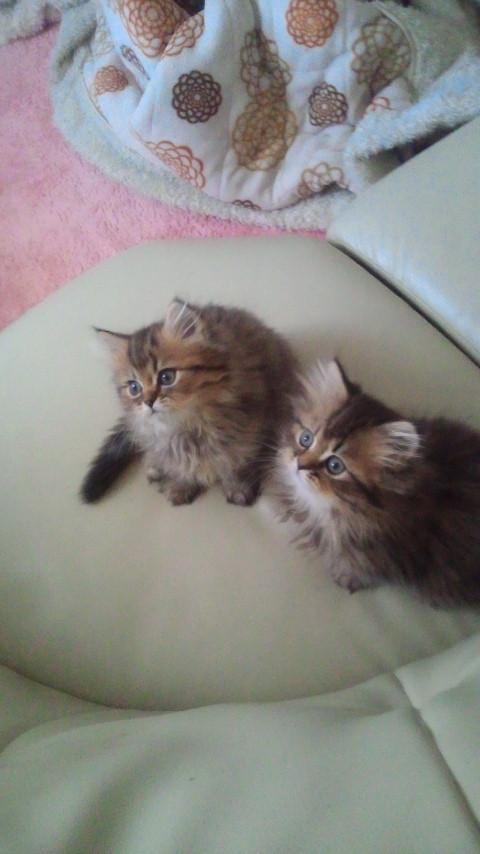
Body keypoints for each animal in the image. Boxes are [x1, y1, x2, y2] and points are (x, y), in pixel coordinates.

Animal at [81, 298, 297, 507]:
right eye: (134, 388)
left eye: (167, 377)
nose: (148, 402)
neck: (187, 427)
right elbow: (178, 465)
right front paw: (180, 485)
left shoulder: (252, 428)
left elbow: (237, 462)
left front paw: (238, 487)